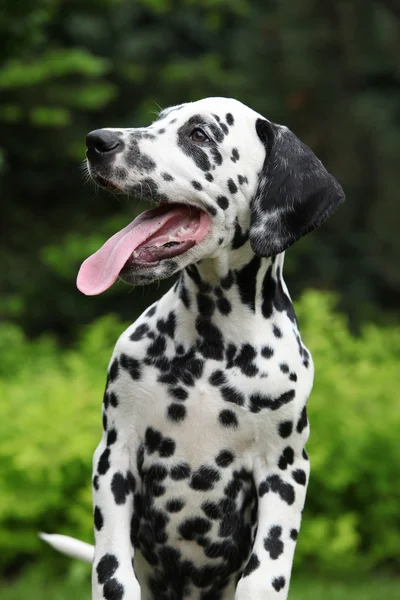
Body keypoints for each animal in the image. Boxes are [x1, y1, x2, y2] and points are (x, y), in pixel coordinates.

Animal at [42, 96, 346, 596]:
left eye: (199, 134)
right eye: (158, 120)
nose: (97, 141)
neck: (211, 346)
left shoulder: (286, 470)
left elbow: (265, 572)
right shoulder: (114, 453)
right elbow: (113, 572)